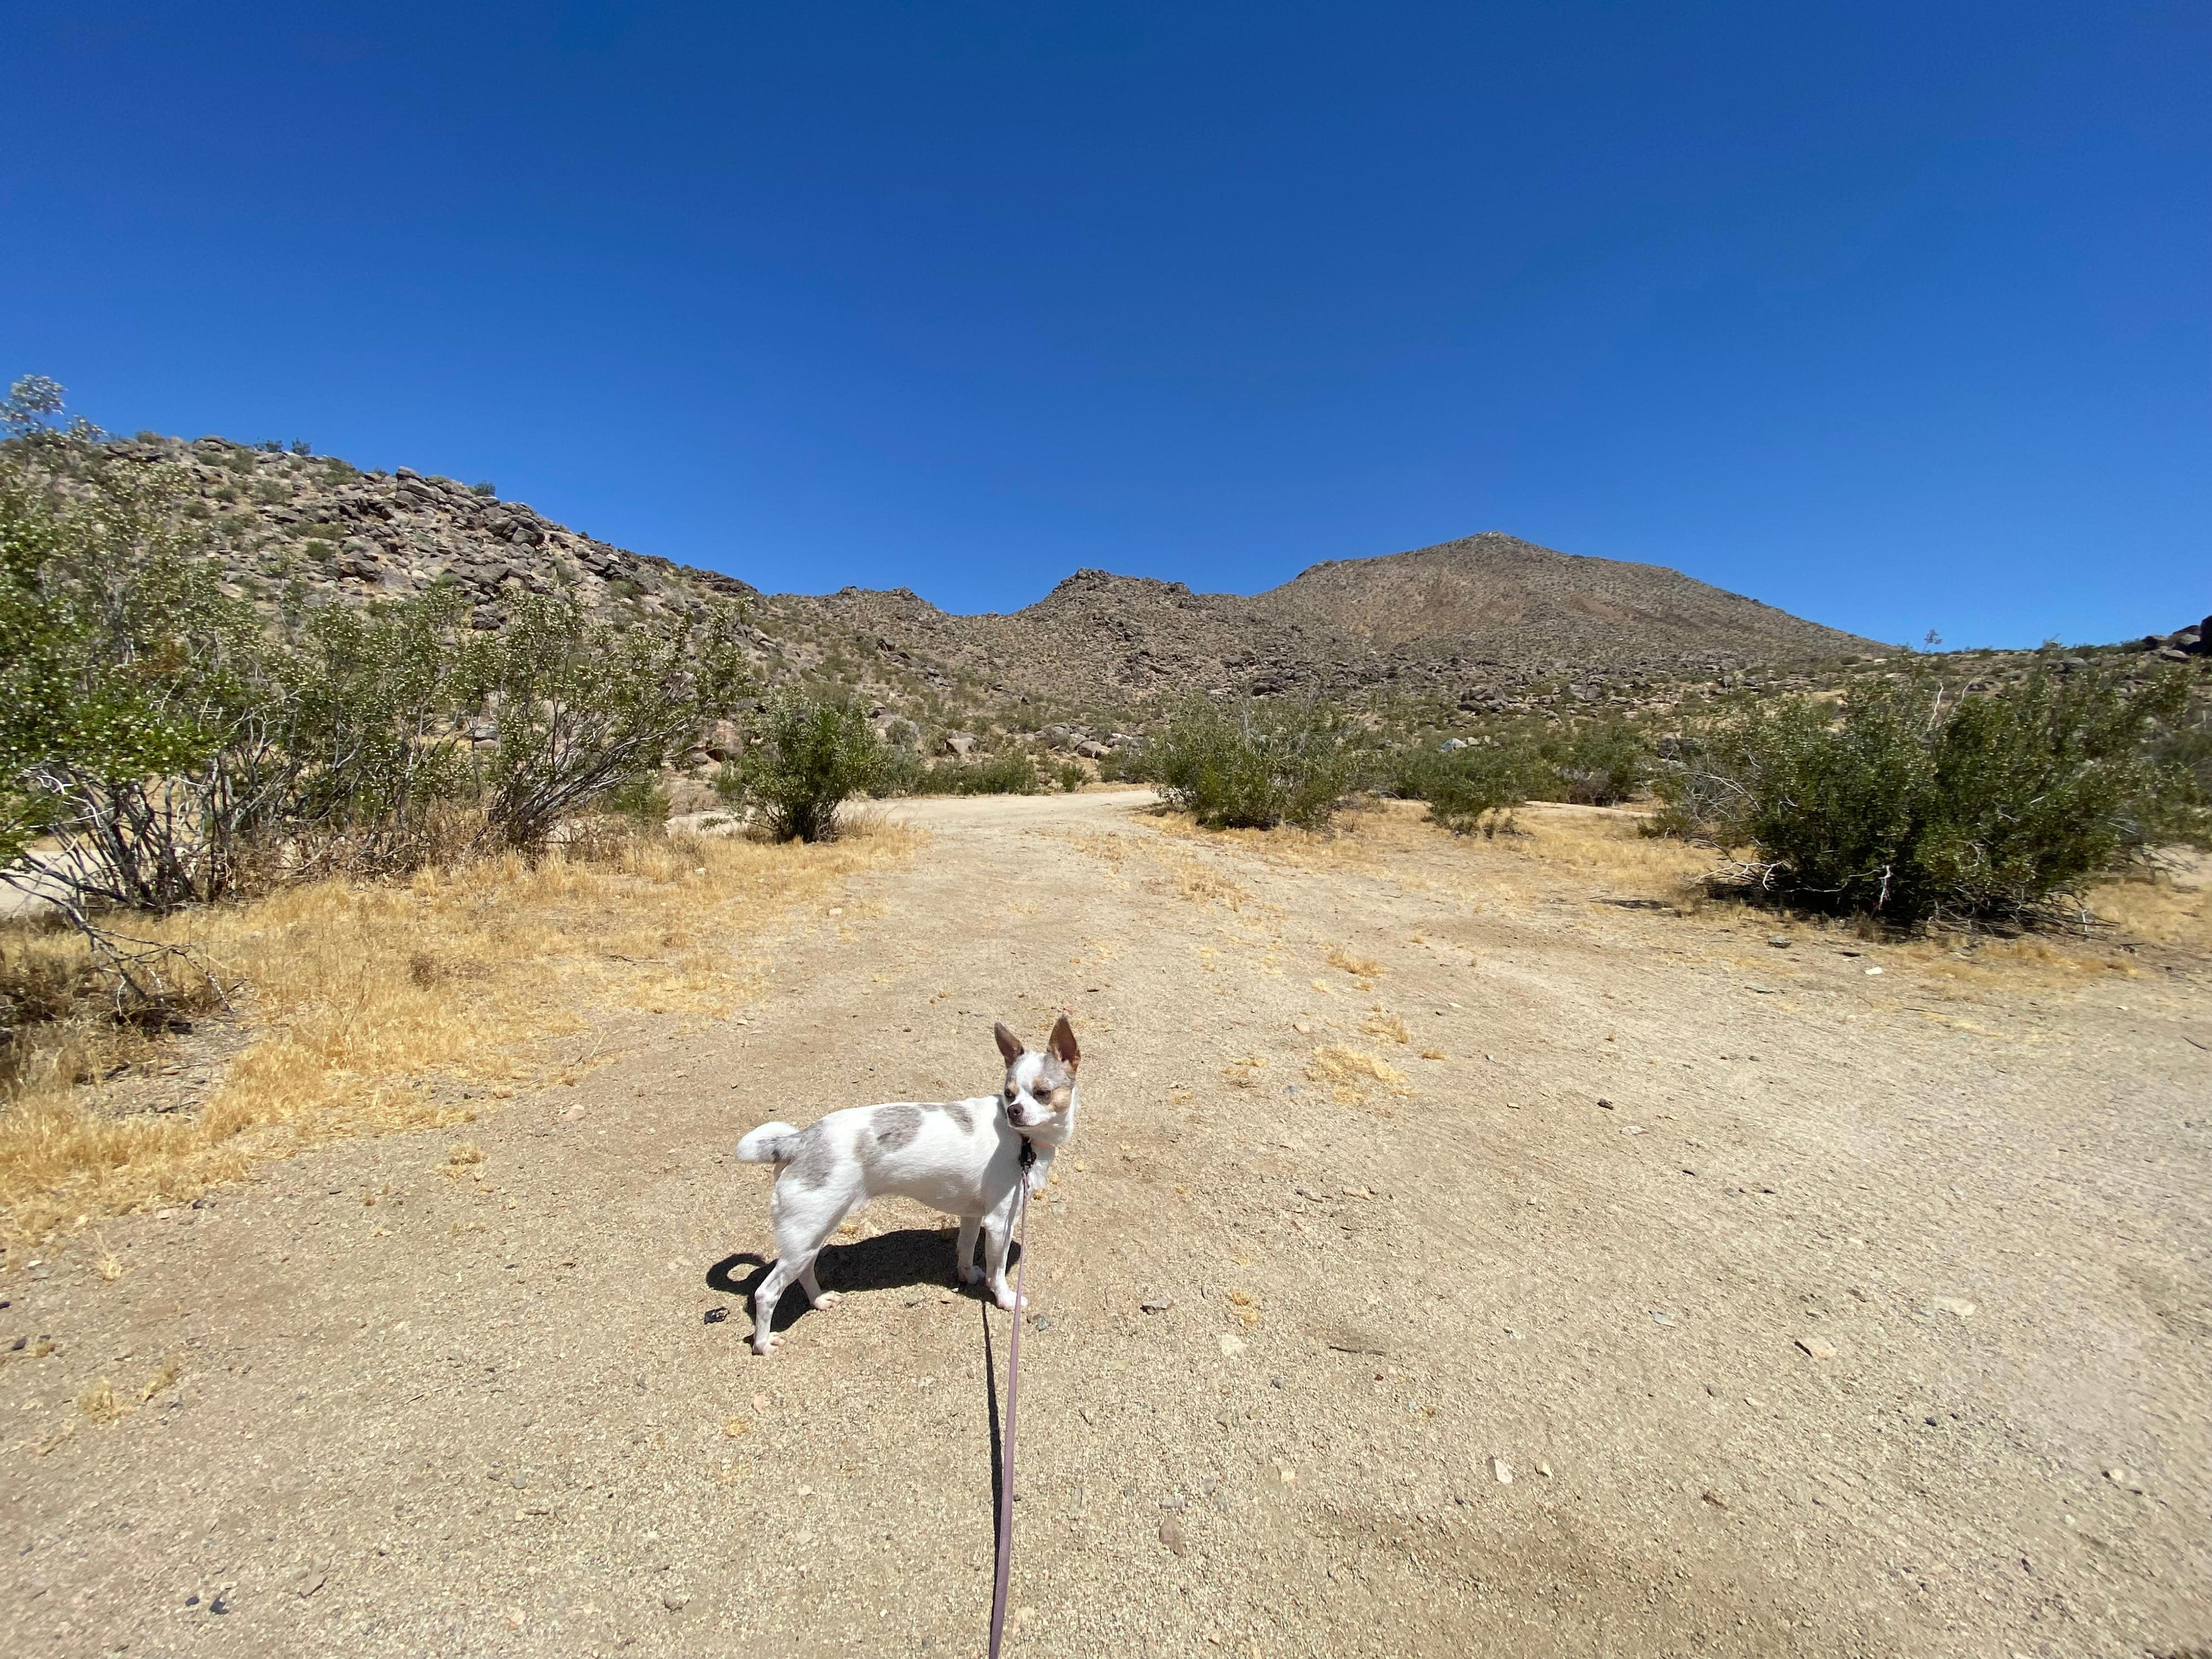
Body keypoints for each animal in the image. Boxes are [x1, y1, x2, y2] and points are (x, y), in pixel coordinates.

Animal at [734, 1021, 1079, 1353]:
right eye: (1009, 1094)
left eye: (1042, 1093)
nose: (1013, 1111)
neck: (1023, 1141)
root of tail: (800, 1140)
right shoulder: (1000, 1223)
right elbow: (998, 1269)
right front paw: (1005, 1299)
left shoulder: (972, 1216)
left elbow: (966, 1248)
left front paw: (967, 1275)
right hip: (805, 1235)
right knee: (766, 1293)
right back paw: (763, 1344)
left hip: (812, 1234)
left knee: (805, 1270)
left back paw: (819, 1300)